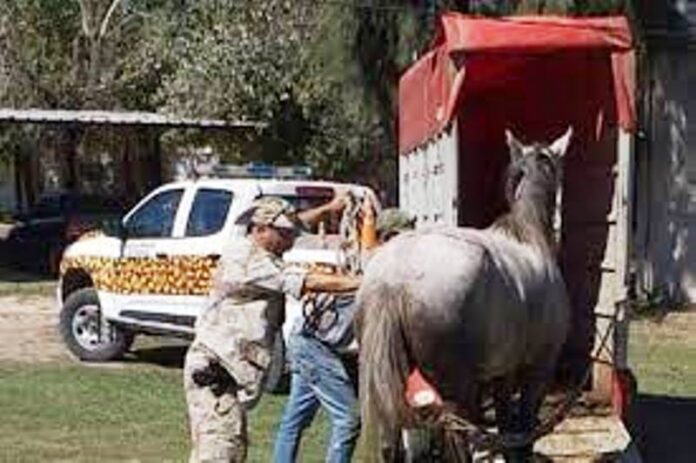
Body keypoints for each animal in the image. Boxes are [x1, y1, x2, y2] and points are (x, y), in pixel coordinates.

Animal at [356, 128, 573, 462]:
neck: (529, 236)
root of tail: (392, 277)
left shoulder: (502, 373)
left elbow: (507, 426)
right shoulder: (537, 369)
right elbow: (523, 429)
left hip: (391, 379)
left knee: (389, 444)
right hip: (456, 391)